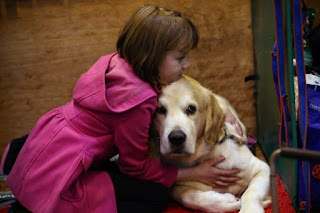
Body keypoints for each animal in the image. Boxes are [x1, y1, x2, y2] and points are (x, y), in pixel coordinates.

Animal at [149, 75, 272, 212]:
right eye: (160, 110)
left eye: (191, 109)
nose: (176, 138)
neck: (203, 155)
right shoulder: (175, 186)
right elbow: (187, 196)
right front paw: (226, 201)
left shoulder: (262, 168)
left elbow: (251, 192)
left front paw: (250, 209)